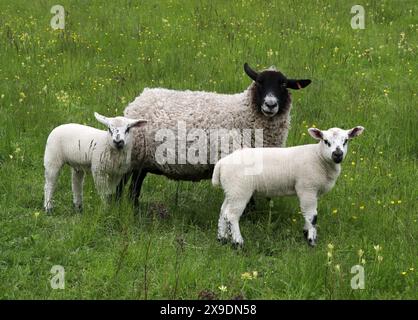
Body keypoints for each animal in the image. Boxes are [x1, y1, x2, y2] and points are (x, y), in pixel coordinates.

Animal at [122, 63, 312, 205]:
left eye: (283, 84)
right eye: (259, 82)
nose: (270, 105)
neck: (244, 114)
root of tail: (139, 99)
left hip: (142, 159)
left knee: (134, 185)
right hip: (133, 154)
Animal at [211, 126, 364, 246]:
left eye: (346, 141)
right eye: (326, 141)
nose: (337, 154)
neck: (318, 157)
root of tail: (221, 164)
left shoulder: (312, 192)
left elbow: (308, 214)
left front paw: (306, 232)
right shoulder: (307, 188)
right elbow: (312, 216)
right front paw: (311, 240)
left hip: (231, 190)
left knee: (223, 212)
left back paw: (222, 238)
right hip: (240, 190)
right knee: (231, 215)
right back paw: (238, 243)